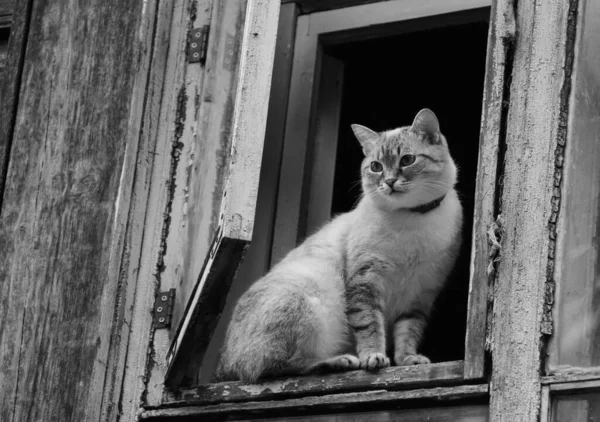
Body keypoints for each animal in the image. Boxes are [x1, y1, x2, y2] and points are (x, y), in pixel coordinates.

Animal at [213, 108, 462, 382]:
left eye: (407, 160)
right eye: (376, 167)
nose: (388, 182)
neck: (413, 218)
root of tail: (223, 363)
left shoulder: (420, 295)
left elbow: (408, 332)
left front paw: (408, 360)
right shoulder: (365, 280)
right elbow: (369, 324)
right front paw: (374, 357)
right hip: (303, 297)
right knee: (274, 368)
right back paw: (339, 362)